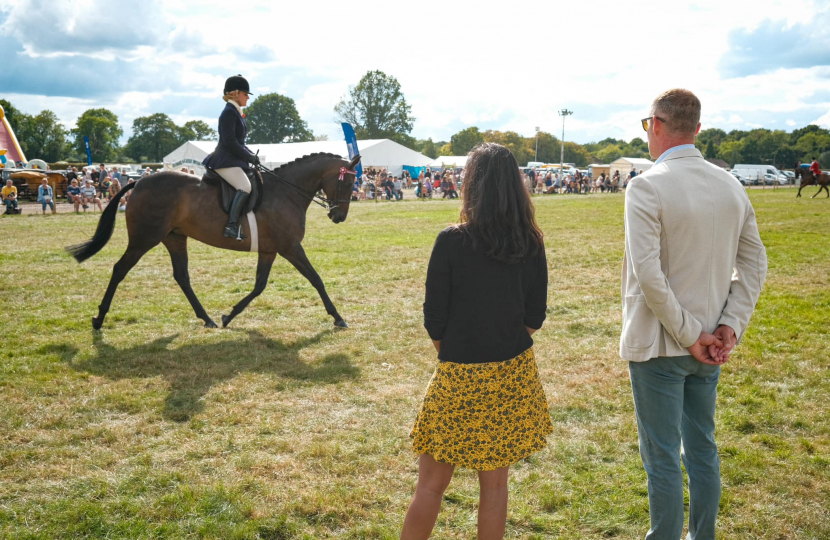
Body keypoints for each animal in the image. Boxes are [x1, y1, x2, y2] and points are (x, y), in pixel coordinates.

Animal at [66, 152, 360, 330]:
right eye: (348, 183)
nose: (339, 216)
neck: (287, 192)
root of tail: (138, 183)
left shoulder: (269, 250)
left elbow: (259, 285)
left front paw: (228, 315)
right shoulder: (290, 248)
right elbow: (316, 279)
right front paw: (338, 318)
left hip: (174, 238)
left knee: (181, 276)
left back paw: (207, 318)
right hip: (144, 239)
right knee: (120, 269)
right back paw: (99, 318)